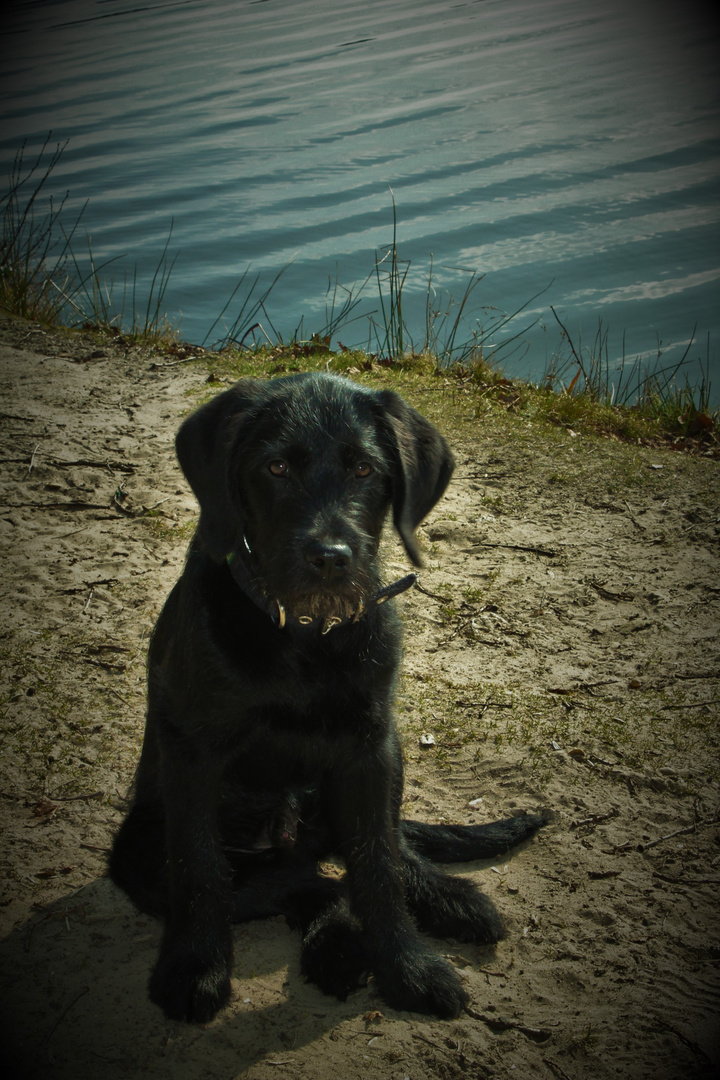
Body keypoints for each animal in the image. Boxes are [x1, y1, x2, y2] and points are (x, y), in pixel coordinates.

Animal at [110, 375, 544, 1023]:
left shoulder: (369, 750)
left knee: (377, 851)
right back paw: (336, 947)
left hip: (377, 766)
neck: (304, 636)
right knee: (306, 882)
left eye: (365, 468)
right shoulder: (192, 754)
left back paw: (446, 900)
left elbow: (379, 865)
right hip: (140, 851)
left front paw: (407, 967)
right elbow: (199, 867)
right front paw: (195, 966)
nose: (331, 558)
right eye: (276, 467)